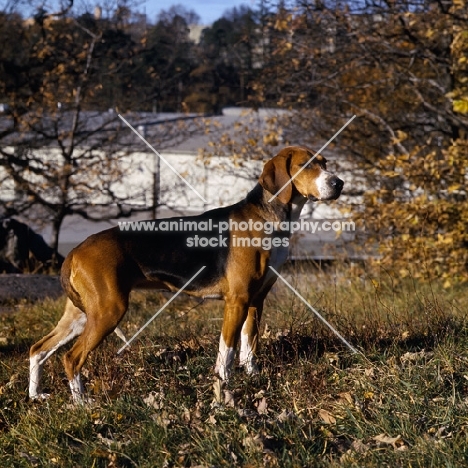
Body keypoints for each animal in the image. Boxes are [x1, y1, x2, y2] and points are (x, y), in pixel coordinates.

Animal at [29, 147, 344, 402]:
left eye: (325, 163)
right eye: (307, 165)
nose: (339, 183)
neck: (267, 217)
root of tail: (75, 250)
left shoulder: (256, 301)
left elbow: (250, 346)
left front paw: (255, 378)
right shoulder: (237, 301)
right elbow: (227, 351)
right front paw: (224, 386)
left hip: (81, 315)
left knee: (37, 349)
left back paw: (36, 395)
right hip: (108, 310)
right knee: (71, 358)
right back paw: (82, 403)